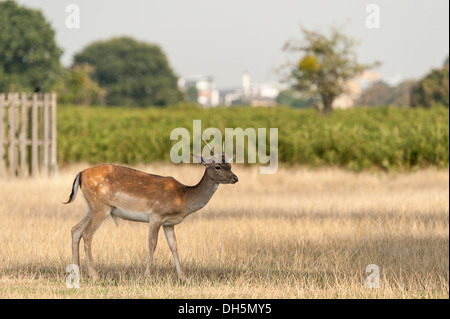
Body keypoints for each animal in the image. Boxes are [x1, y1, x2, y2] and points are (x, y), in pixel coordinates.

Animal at [65, 146, 239, 282]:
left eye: (230, 165)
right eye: (217, 166)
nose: (235, 177)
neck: (183, 198)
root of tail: (80, 174)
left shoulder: (169, 223)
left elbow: (174, 246)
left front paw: (183, 277)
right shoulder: (156, 215)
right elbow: (152, 244)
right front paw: (147, 276)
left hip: (91, 207)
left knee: (75, 229)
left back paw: (75, 271)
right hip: (101, 207)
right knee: (87, 233)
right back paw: (94, 275)